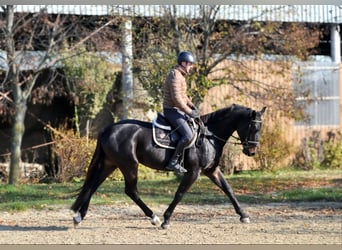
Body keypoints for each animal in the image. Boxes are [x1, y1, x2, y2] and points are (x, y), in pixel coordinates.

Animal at [71, 103, 266, 229]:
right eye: (252, 127)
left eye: (260, 129)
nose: (251, 152)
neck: (209, 135)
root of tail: (108, 128)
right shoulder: (193, 171)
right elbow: (180, 193)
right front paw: (166, 220)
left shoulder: (212, 170)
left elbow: (228, 190)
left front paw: (243, 215)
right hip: (129, 165)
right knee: (130, 191)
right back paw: (154, 218)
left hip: (110, 164)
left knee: (93, 185)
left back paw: (79, 216)